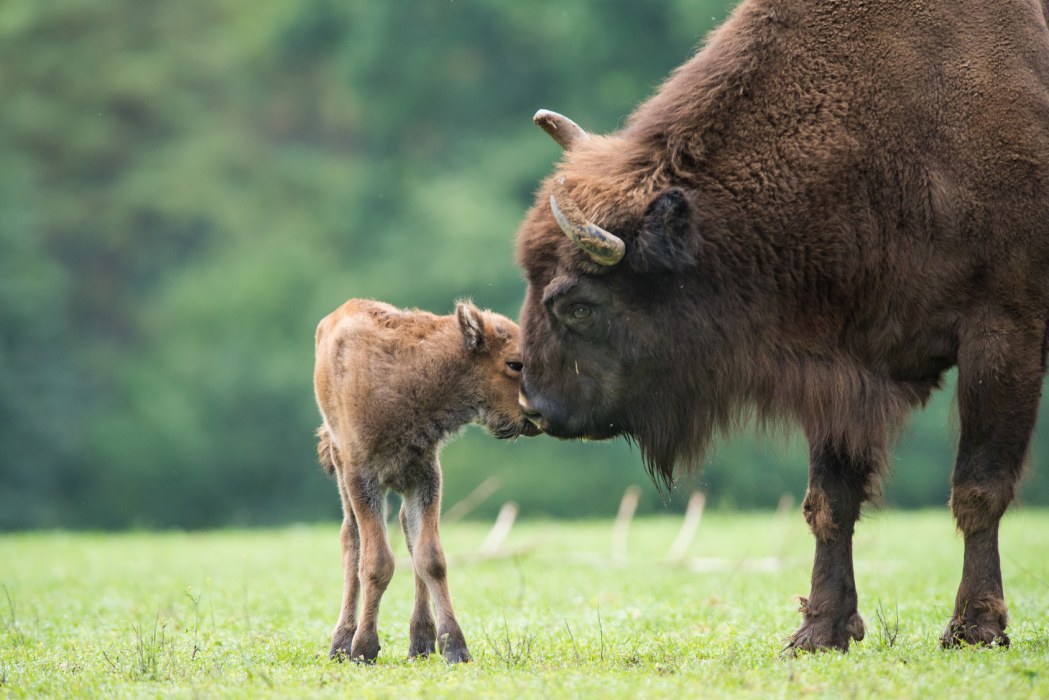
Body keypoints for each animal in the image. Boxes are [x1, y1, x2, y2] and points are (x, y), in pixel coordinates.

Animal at [310, 300, 537, 663]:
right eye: (514, 363)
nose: (537, 415)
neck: (412, 371)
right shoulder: (362, 477)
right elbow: (376, 562)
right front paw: (363, 648)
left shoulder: (425, 476)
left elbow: (430, 558)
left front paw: (455, 647)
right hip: (341, 466)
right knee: (351, 538)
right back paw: (341, 642)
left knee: (407, 532)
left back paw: (421, 642)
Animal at [516, 0, 1049, 650]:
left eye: (577, 304)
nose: (535, 405)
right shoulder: (842, 368)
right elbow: (829, 501)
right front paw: (821, 630)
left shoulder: (1004, 333)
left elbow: (978, 487)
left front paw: (975, 628)